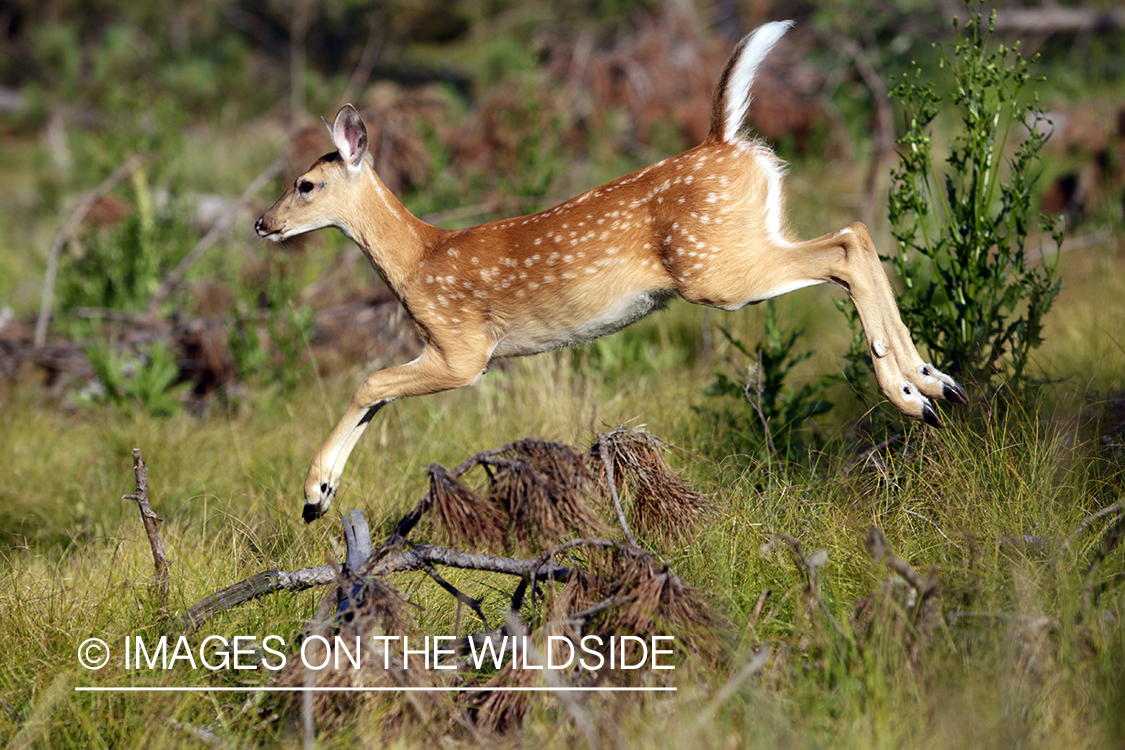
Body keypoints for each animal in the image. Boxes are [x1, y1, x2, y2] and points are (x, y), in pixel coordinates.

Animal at [256, 21, 967, 523]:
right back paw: (936, 384)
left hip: (715, 270)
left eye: (305, 184)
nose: (262, 223)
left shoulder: (464, 349)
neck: (419, 260)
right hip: (741, 244)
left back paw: (911, 394)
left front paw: (313, 493)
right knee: (858, 237)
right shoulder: (449, 350)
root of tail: (725, 141)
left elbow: (370, 381)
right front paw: (322, 493)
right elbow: (375, 396)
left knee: (846, 244)